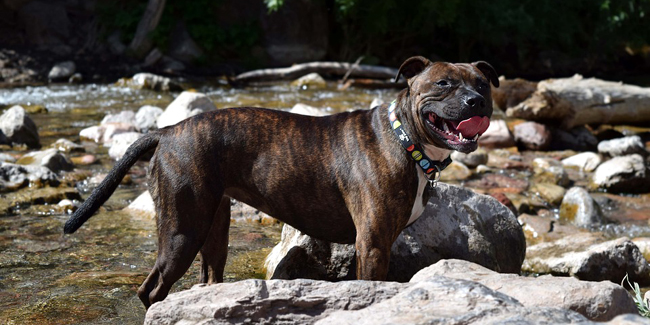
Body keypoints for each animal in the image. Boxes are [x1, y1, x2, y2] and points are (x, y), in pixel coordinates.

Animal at [64, 56, 496, 308]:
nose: (476, 101)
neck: (404, 138)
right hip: (181, 232)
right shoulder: (372, 244)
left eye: (482, 83)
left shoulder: (378, 242)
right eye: (443, 84)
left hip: (213, 228)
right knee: (151, 290)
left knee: (208, 277)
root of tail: (167, 131)